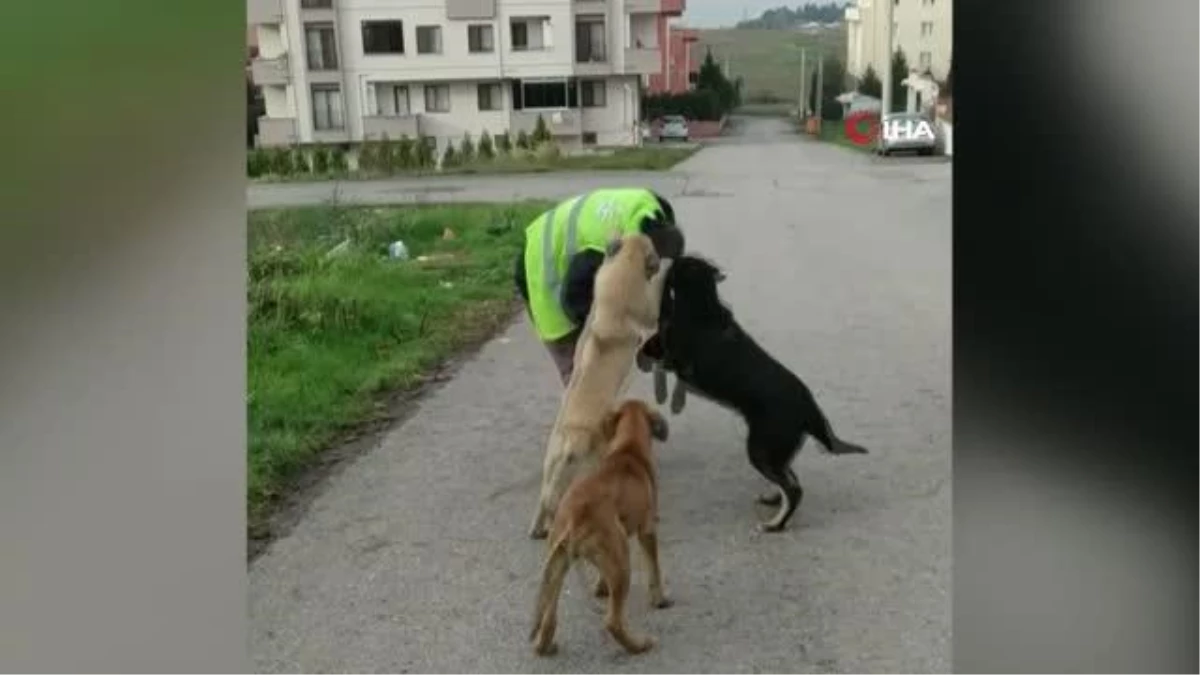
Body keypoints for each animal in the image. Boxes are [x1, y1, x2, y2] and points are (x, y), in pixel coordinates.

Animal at [528, 230, 672, 535]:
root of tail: (571, 440)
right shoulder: (649, 314)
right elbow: (654, 302)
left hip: (551, 464)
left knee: (545, 498)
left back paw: (537, 527)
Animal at [532, 396, 676, 653]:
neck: (628, 448)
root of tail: (575, 517)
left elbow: (601, 574)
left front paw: (601, 588)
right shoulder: (647, 530)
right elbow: (654, 569)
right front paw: (660, 599)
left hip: (559, 563)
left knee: (549, 617)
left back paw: (545, 647)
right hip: (621, 560)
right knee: (612, 622)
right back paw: (639, 645)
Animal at [633, 253, 868, 530]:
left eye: (682, 261)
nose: (664, 259)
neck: (703, 305)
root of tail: (809, 409)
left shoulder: (675, 361)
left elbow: (660, 344)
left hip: (761, 449)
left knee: (794, 490)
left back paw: (774, 525)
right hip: (776, 451)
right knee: (790, 480)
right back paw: (773, 500)